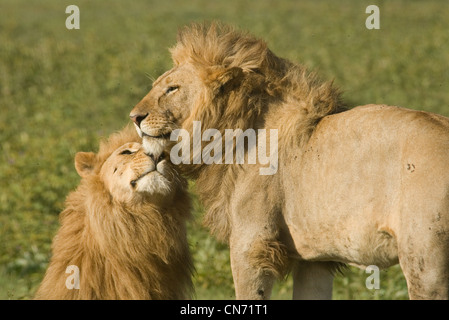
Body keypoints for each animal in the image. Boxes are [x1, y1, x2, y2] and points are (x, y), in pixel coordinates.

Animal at [129, 23, 448, 300]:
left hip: (425, 260)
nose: (134, 117)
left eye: (172, 89)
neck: (233, 130)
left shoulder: (252, 243)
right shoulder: (315, 257)